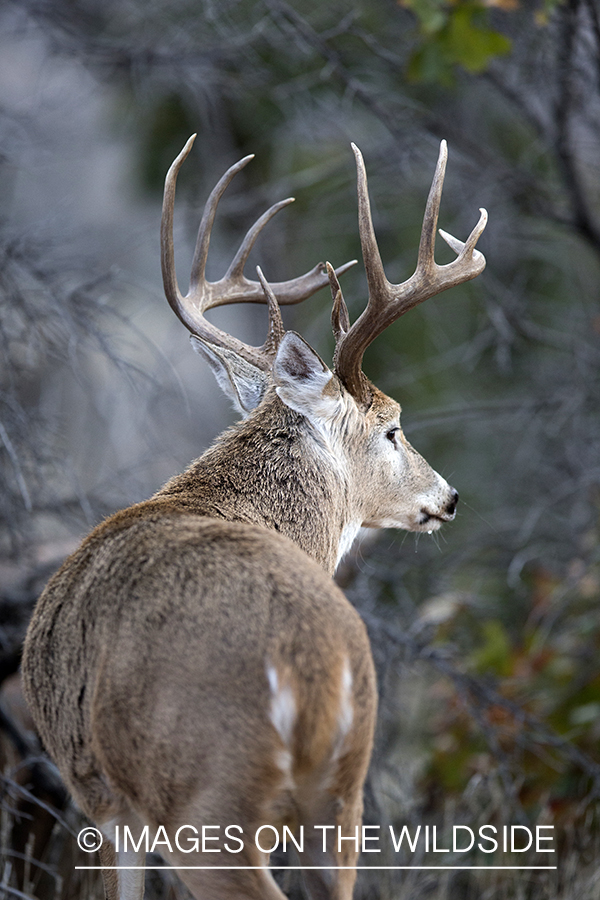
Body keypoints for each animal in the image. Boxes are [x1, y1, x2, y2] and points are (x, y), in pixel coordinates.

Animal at [21, 135, 488, 900]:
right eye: (392, 427)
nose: (448, 496)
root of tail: (313, 661)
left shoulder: (104, 799)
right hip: (339, 794)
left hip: (205, 799)